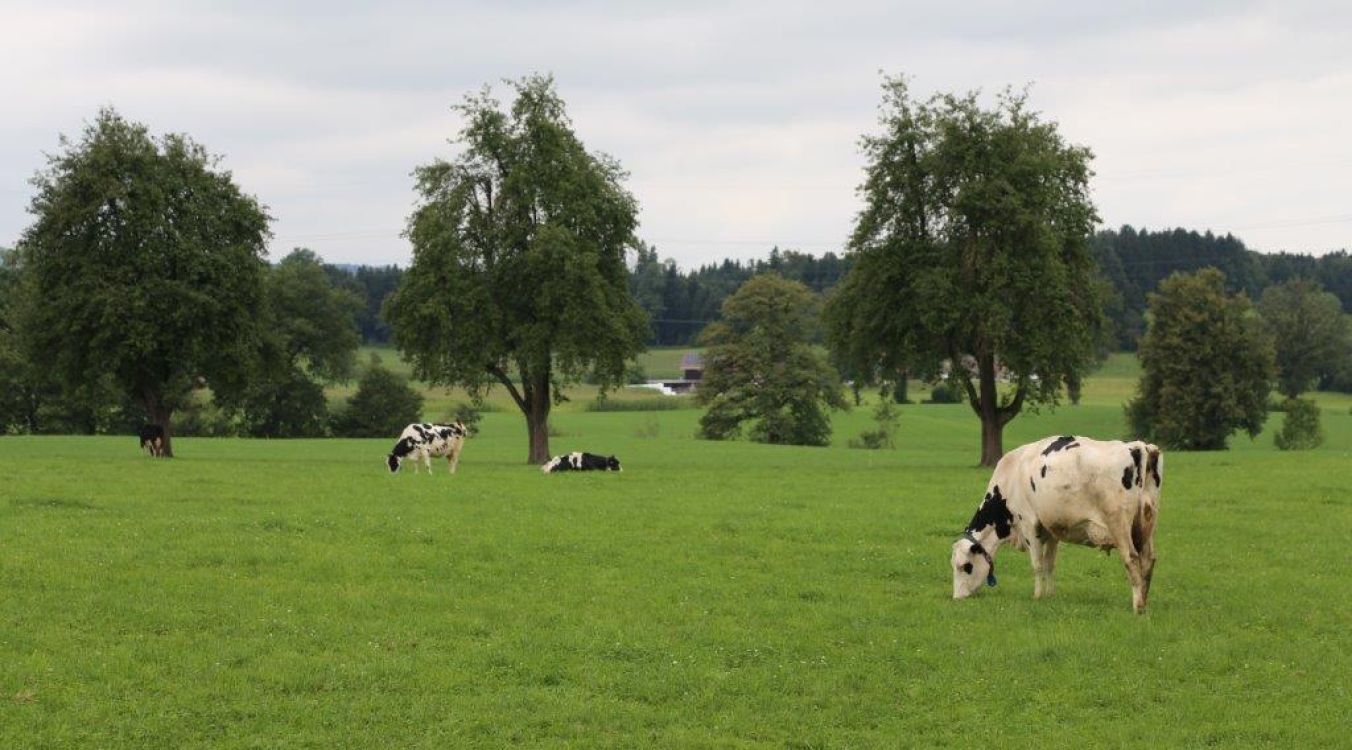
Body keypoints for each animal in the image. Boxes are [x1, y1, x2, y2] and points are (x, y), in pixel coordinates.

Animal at [951, 437, 1162, 613]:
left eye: (965, 566)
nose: (957, 598)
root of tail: (1138, 445)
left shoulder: (1029, 523)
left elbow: (1037, 564)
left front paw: (1037, 596)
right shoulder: (1052, 530)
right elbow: (1049, 564)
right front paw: (1050, 595)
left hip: (1119, 524)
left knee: (1132, 558)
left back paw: (1137, 607)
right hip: (1147, 524)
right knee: (1148, 561)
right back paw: (1144, 601)